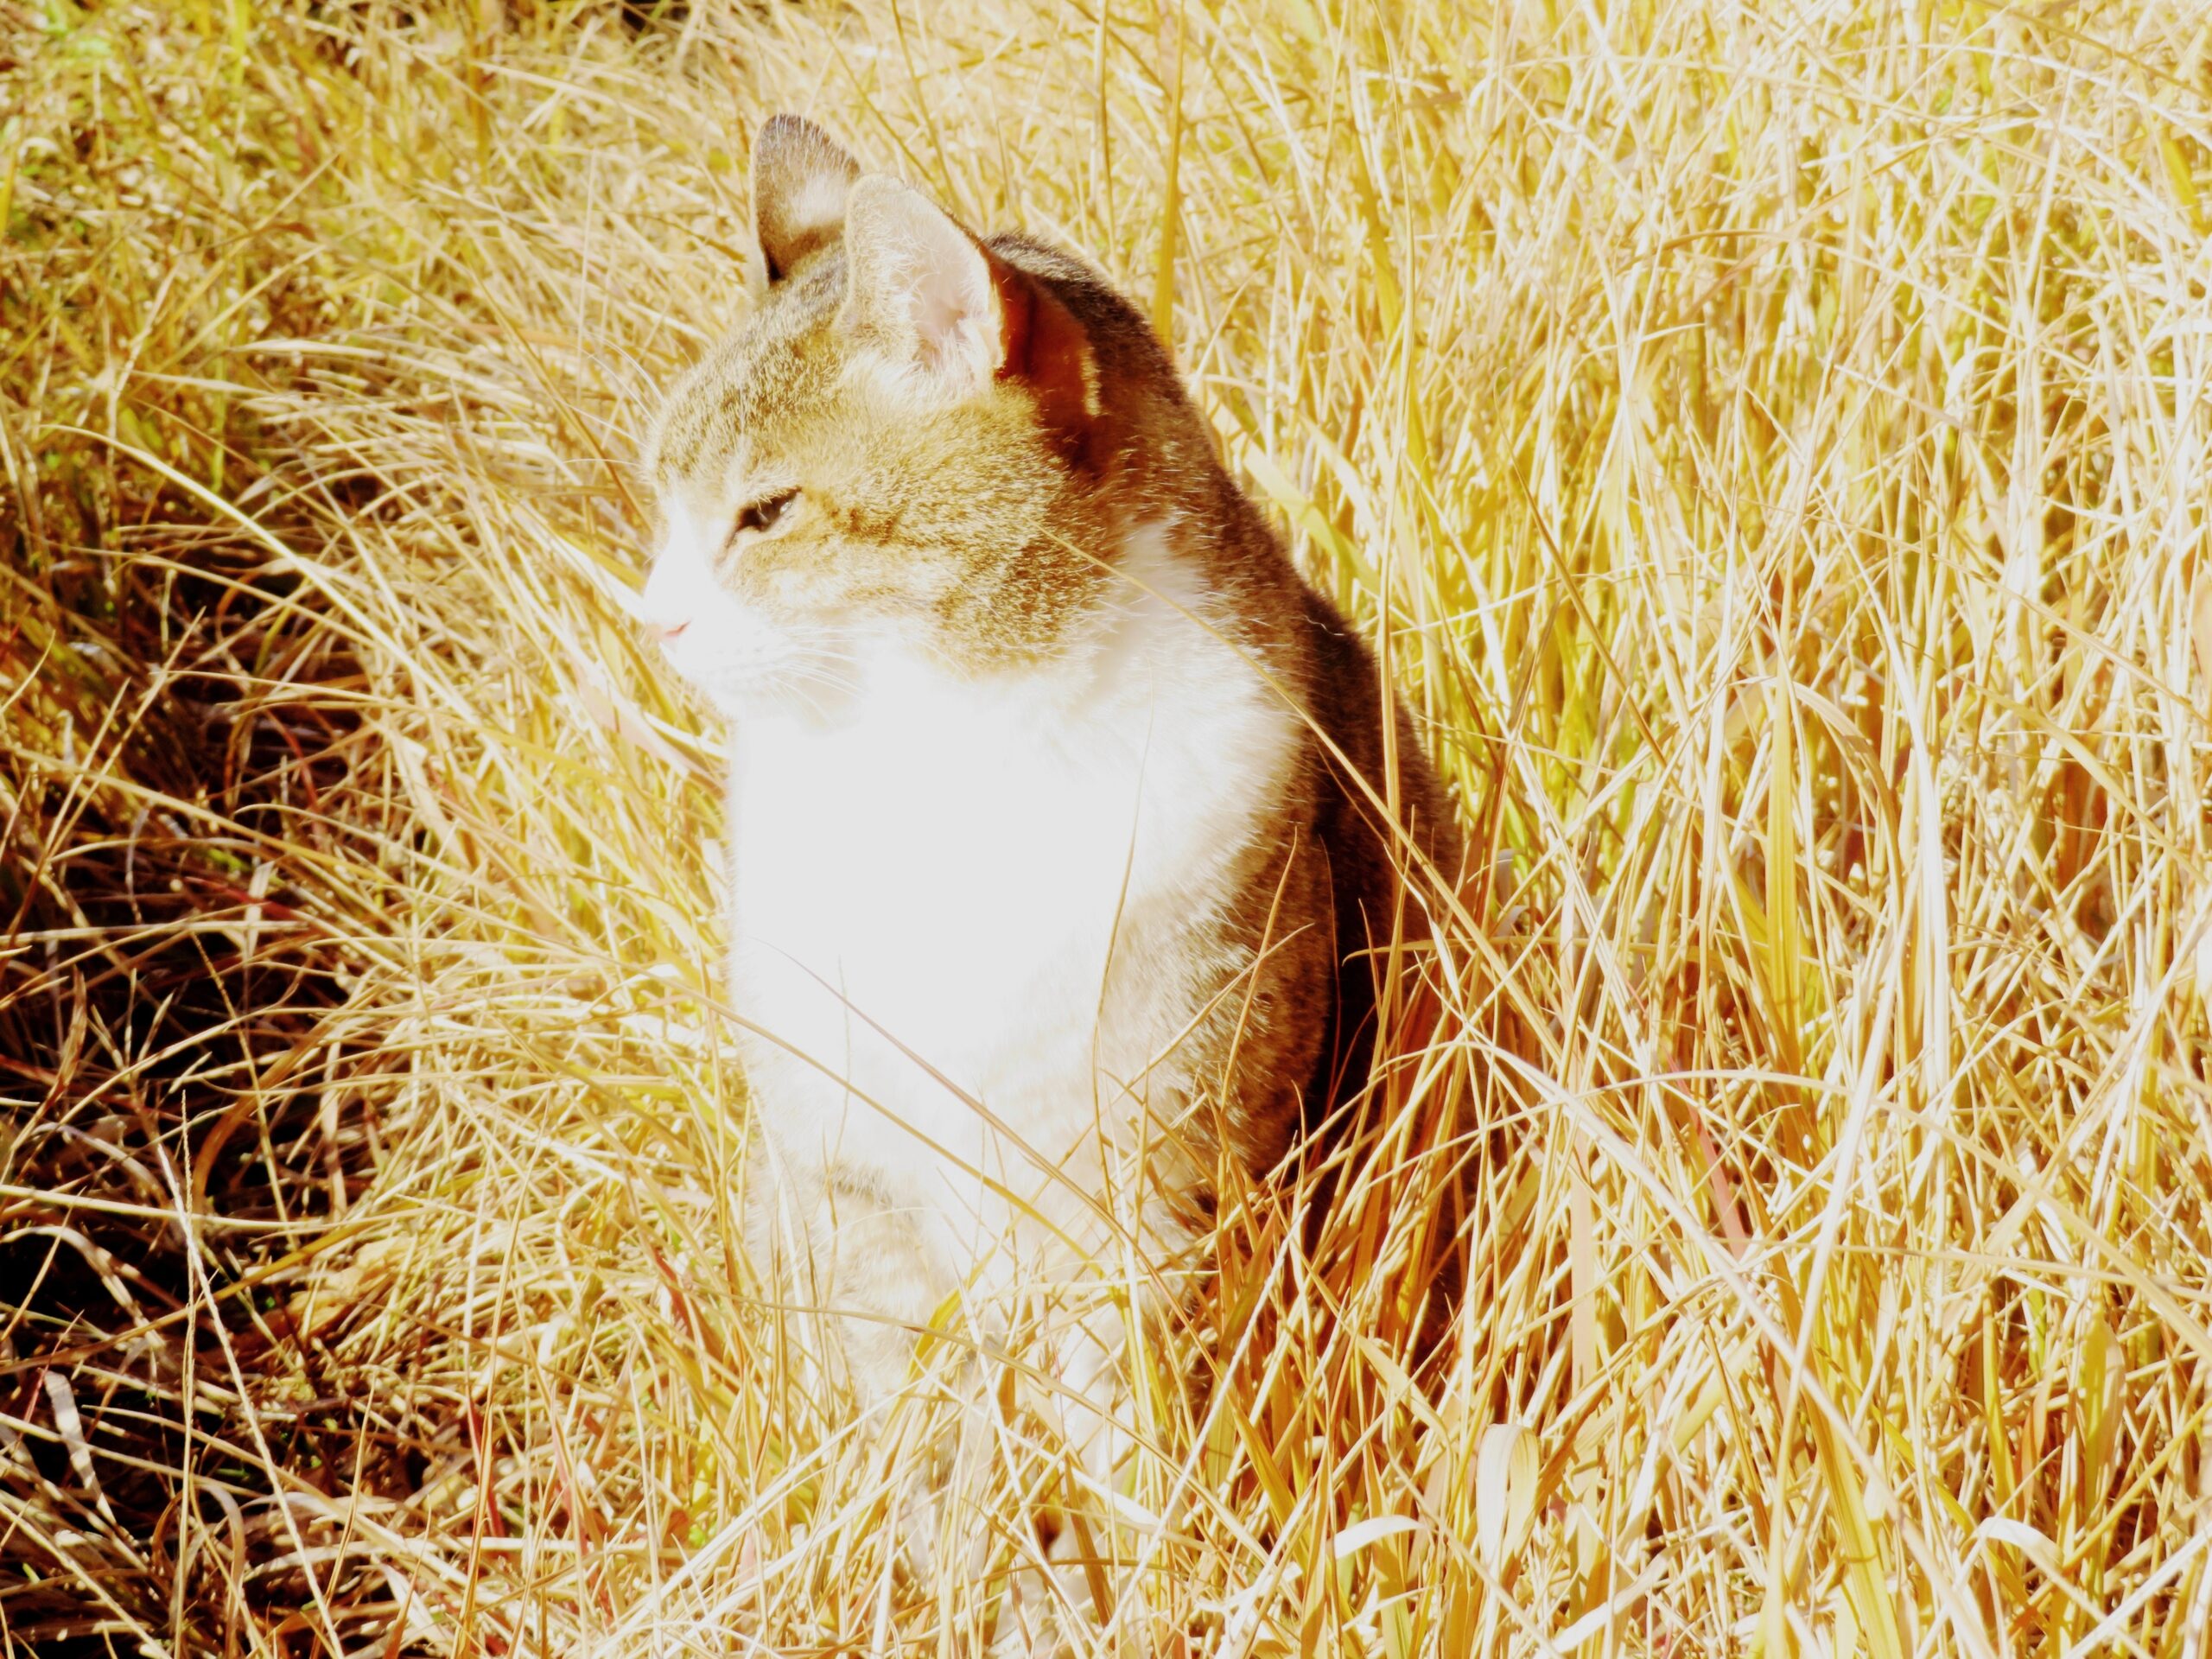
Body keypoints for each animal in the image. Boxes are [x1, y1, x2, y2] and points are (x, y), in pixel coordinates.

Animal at [641, 117, 1459, 1637]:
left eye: (766, 514)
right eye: (666, 507)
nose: (650, 618)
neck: (947, 770)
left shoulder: (1153, 1196)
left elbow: (1143, 1460)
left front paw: (1153, 1601)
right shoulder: (855, 1190)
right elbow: (931, 1446)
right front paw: (974, 1589)